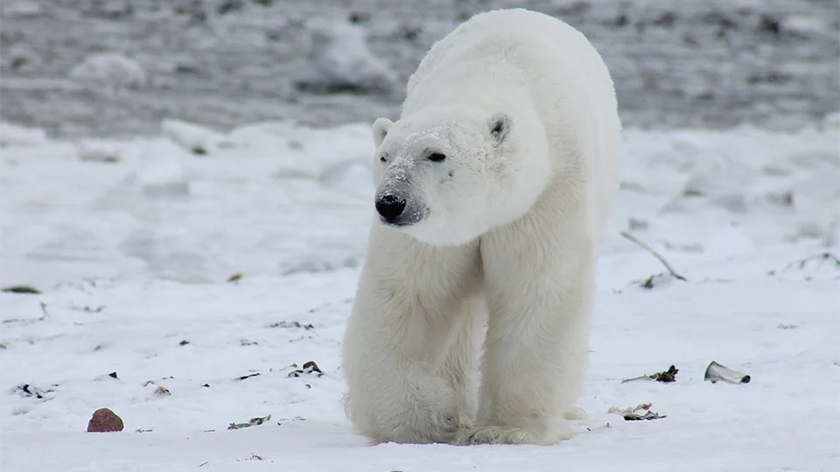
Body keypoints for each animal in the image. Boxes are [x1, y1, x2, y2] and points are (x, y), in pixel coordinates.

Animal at [338, 8, 620, 446]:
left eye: (436, 154)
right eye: (385, 156)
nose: (390, 203)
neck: (488, 77)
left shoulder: (545, 195)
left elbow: (537, 292)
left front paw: (506, 430)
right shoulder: (433, 235)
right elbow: (408, 296)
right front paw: (431, 417)